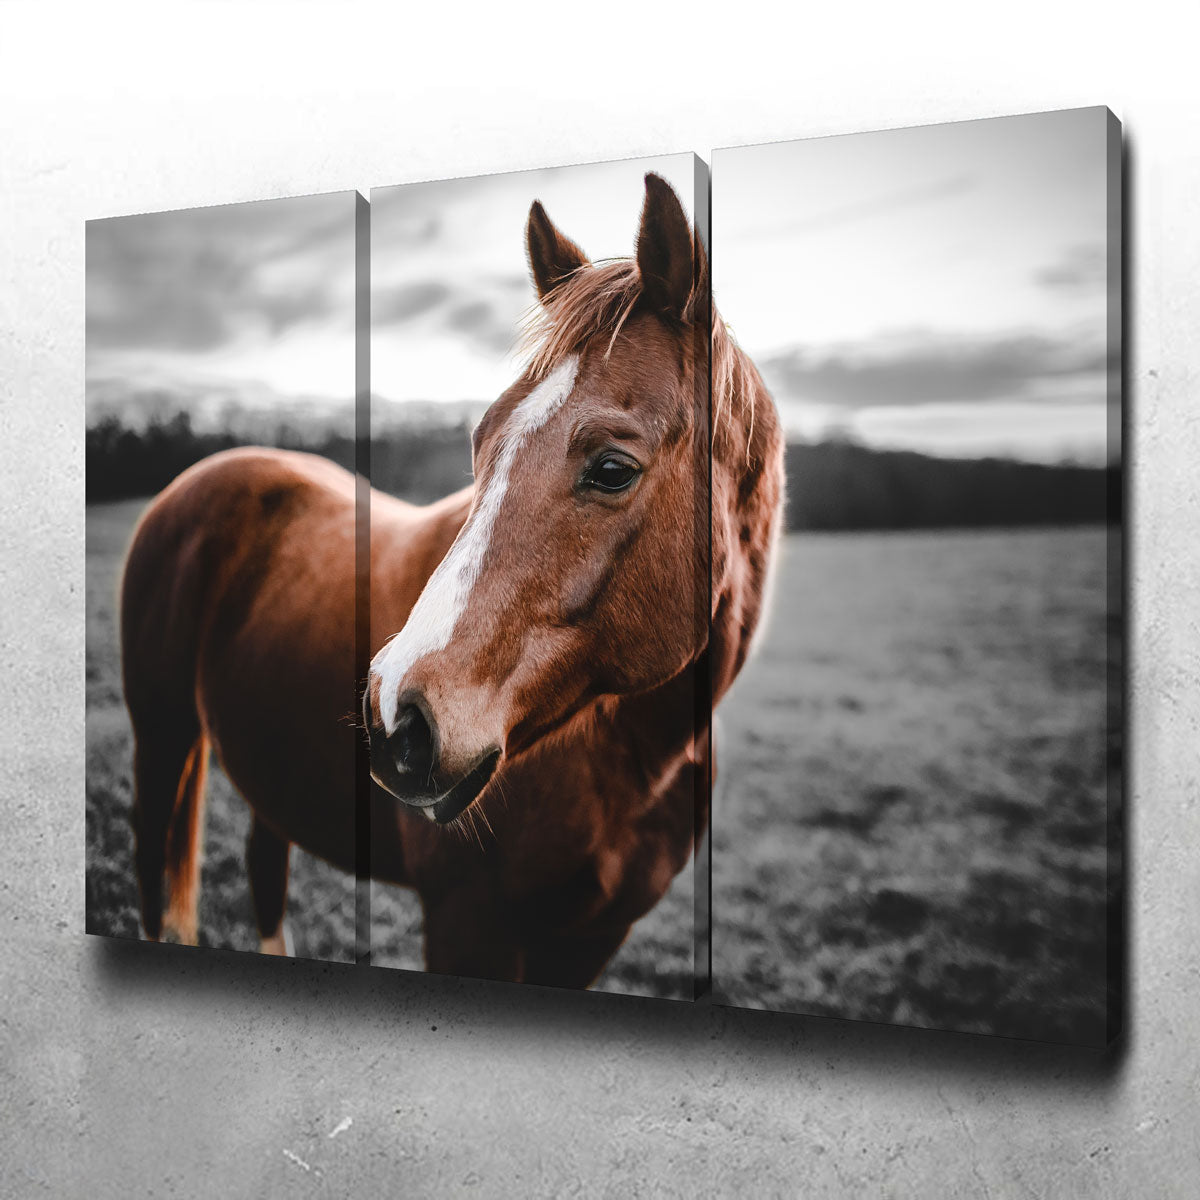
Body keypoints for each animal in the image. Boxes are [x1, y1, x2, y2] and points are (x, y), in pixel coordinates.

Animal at [121, 171, 784, 988]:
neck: (631, 760)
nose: (395, 718)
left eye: (612, 468)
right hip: (161, 738)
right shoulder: (469, 923)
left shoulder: (591, 940)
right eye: (482, 441)